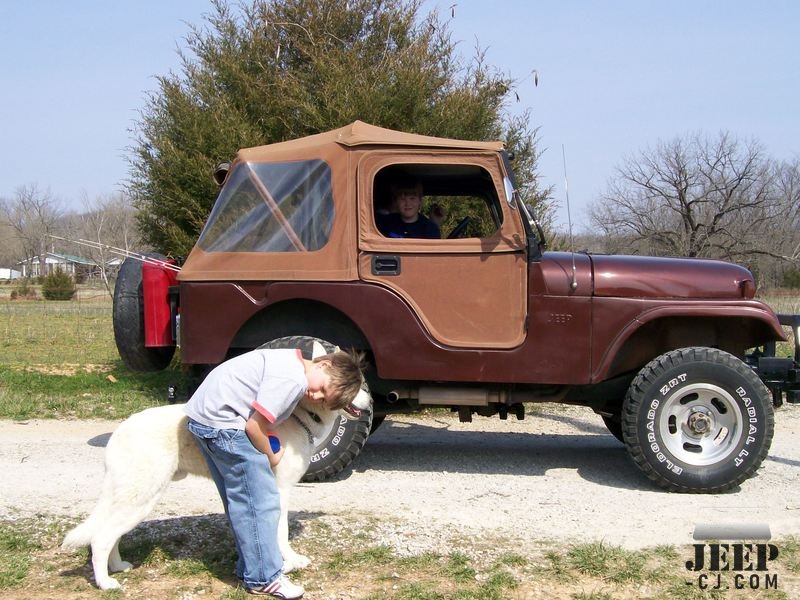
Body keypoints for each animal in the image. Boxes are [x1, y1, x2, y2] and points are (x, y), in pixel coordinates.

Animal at [63, 342, 372, 592]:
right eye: (357, 387)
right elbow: (281, 532)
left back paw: (117, 567)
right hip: (141, 500)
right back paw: (106, 583)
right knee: (100, 539)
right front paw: (291, 561)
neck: (301, 412)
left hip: (129, 500)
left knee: (107, 534)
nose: (370, 403)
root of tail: (119, 431)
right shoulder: (279, 491)